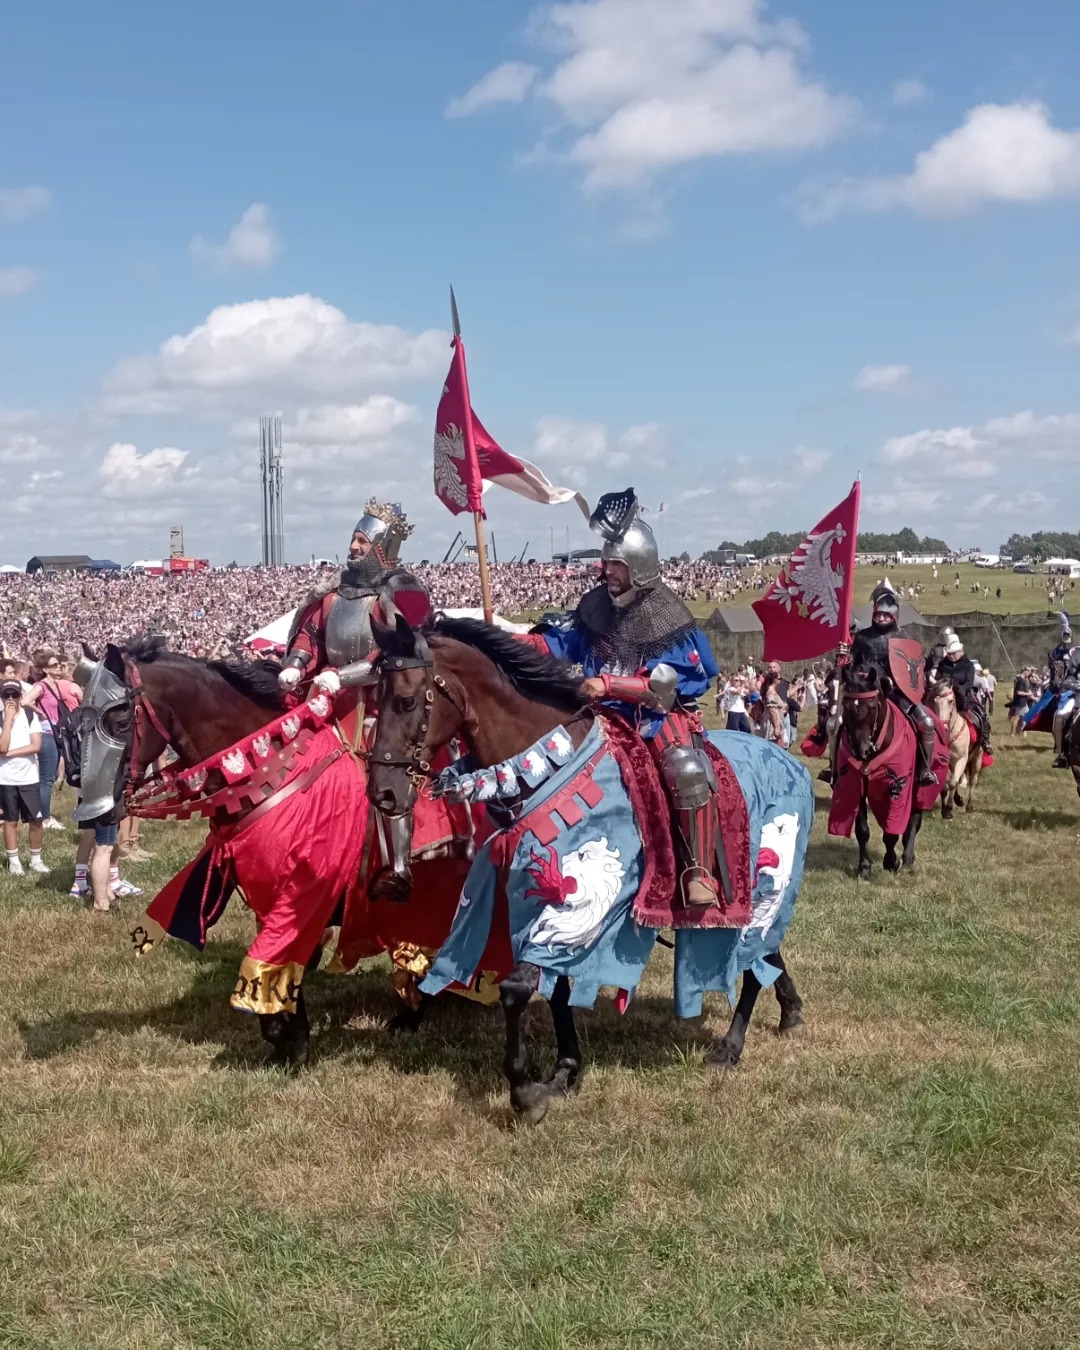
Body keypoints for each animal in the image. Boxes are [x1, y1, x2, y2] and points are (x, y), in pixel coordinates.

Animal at [276, 502, 432, 901]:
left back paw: (398, 875)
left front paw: (329, 679)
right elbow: (309, 639)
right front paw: (291, 677)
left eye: (362, 540)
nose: (354, 547)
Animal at [367, 618, 804, 1123]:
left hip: (767, 881)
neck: (545, 763)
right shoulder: (538, 903)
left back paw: (731, 1046)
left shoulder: (581, 907)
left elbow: (517, 988)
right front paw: (563, 1073)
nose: (382, 793)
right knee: (767, 953)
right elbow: (554, 991)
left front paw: (525, 1091)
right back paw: (790, 1009)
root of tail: (787, 759)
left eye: (405, 700)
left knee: (753, 958)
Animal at [526, 486, 729, 907]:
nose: (605, 576)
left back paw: (700, 885)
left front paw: (596, 684)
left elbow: (663, 681)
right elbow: (557, 641)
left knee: (686, 770)